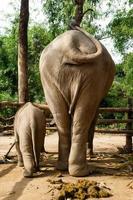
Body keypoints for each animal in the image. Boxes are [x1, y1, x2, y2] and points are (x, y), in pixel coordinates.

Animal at [38, 27, 115, 177]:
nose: (73, 24)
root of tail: (70, 46)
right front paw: (91, 155)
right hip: (94, 75)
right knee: (85, 114)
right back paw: (84, 171)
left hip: (50, 76)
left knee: (61, 116)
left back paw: (63, 167)